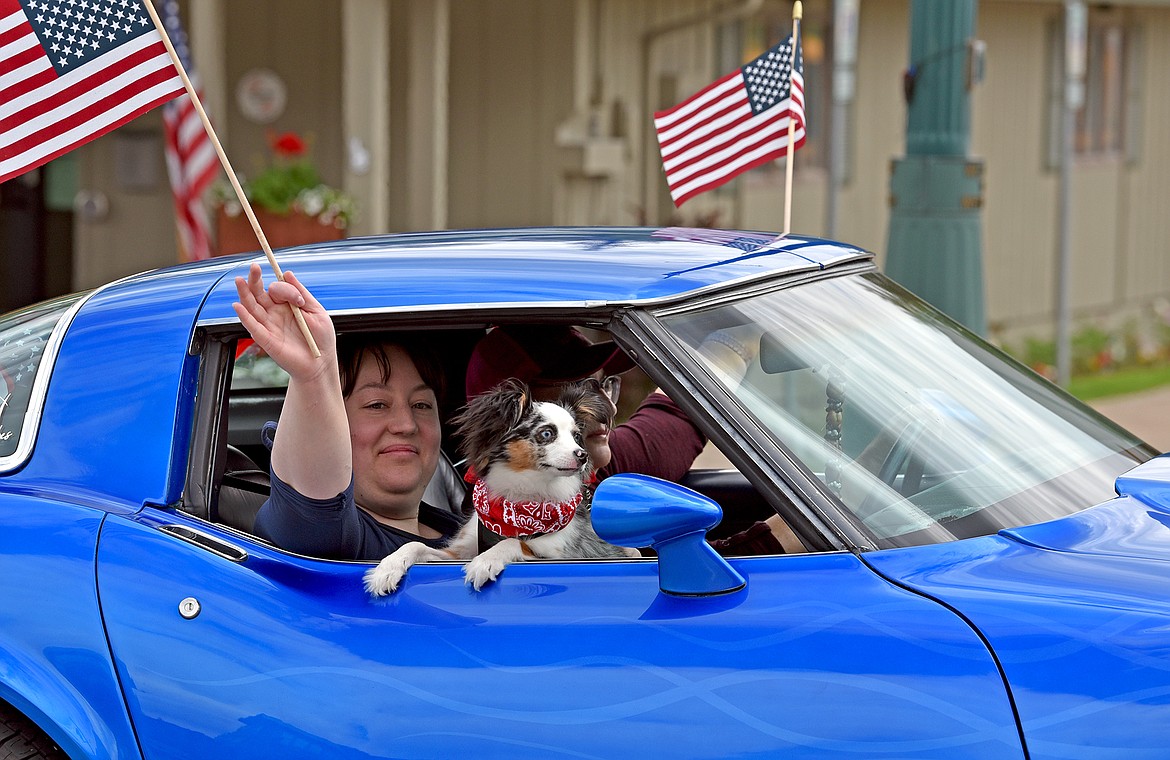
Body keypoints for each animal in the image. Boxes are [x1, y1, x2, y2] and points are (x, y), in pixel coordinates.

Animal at [362, 376, 641, 593]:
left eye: (576, 437)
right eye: (547, 433)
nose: (582, 455)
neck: (520, 498)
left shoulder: (560, 555)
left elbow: (513, 543)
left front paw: (486, 561)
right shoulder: (457, 553)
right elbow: (416, 545)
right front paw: (387, 568)